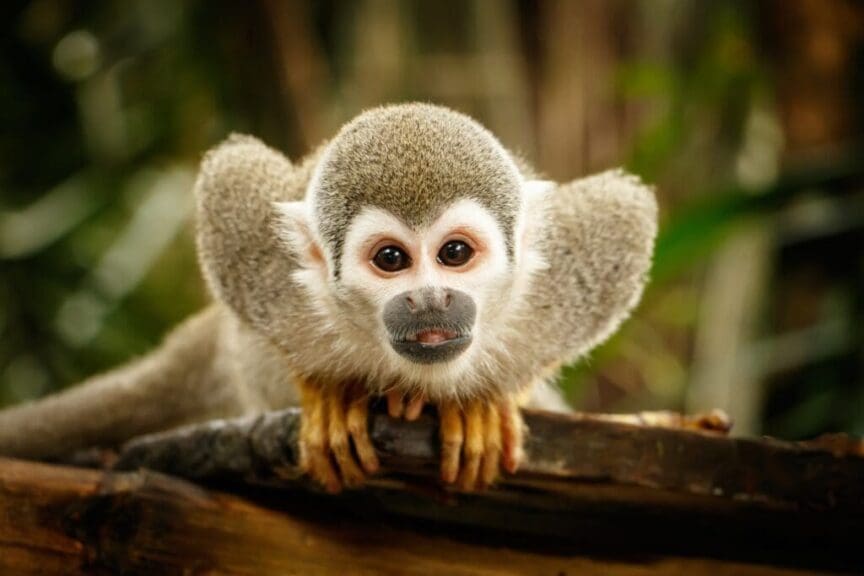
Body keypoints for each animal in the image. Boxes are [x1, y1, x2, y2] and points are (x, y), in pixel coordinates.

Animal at [0, 103, 657, 493]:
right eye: (391, 260)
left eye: (454, 254)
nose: (429, 301)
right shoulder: (266, 275)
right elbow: (231, 176)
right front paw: (327, 393)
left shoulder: (565, 279)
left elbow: (625, 212)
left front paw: (486, 402)